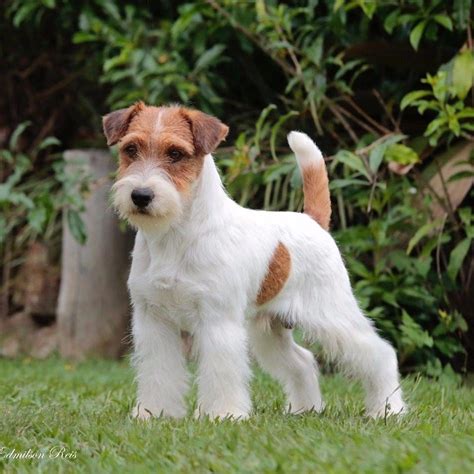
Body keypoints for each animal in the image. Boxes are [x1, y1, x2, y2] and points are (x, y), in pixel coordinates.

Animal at [103, 103, 404, 418]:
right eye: (131, 149)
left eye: (175, 153)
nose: (141, 196)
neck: (174, 237)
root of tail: (313, 221)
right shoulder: (154, 322)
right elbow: (159, 374)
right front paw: (154, 414)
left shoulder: (218, 321)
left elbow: (221, 374)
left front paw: (222, 415)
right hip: (270, 329)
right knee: (303, 361)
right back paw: (305, 409)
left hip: (333, 315)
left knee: (381, 353)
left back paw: (388, 410)